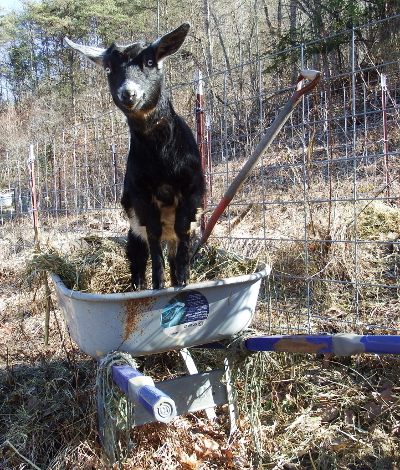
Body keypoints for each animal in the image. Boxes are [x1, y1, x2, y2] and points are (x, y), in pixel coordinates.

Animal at [65, 25, 205, 292]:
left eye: (150, 62)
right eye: (109, 68)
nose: (128, 93)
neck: (162, 158)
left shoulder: (190, 188)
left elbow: (182, 229)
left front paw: (183, 279)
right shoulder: (141, 194)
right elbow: (153, 234)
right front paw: (158, 284)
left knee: (173, 243)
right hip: (133, 230)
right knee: (139, 256)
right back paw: (138, 287)